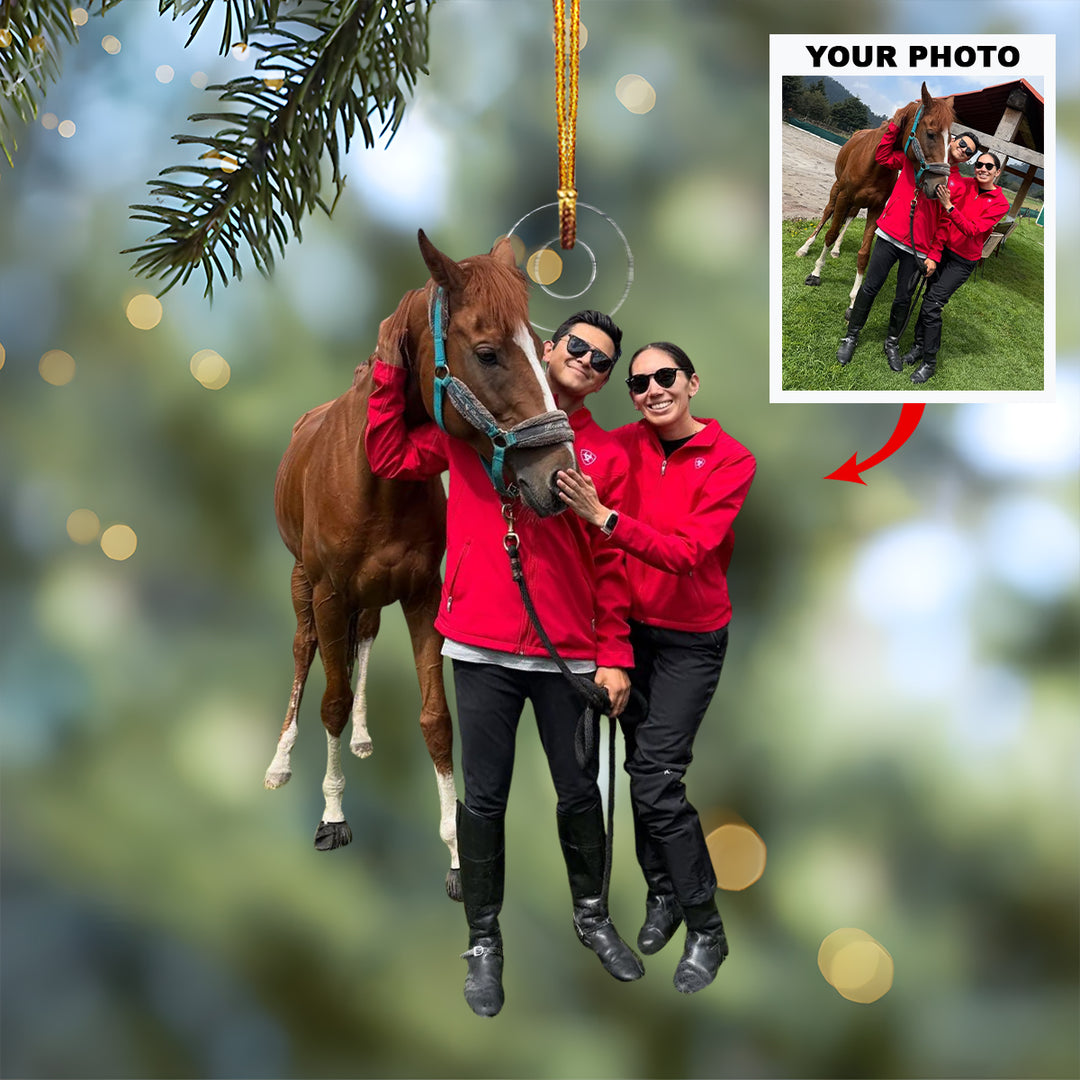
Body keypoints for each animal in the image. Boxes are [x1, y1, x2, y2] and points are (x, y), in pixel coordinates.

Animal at [265, 230, 575, 901]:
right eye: (487, 353)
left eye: (542, 352)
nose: (558, 479)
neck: (374, 475)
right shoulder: (329, 592)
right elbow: (329, 697)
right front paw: (332, 816)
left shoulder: (423, 596)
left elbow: (435, 719)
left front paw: (458, 857)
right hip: (302, 584)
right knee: (304, 653)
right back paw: (280, 762)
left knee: (362, 641)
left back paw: (360, 738)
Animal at [796, 82, 955, 317]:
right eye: (931, 133)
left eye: (950, 139)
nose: (939, 186)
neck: (874, 163)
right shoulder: (844, 196)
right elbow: (830, 233)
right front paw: (816, 273)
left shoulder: (876, 208)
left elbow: (864, 254)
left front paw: (854, 301)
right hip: (836, 190)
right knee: (827, 215)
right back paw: (805, 247)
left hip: (857, 203)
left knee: (849, 218)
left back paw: (836, 250)